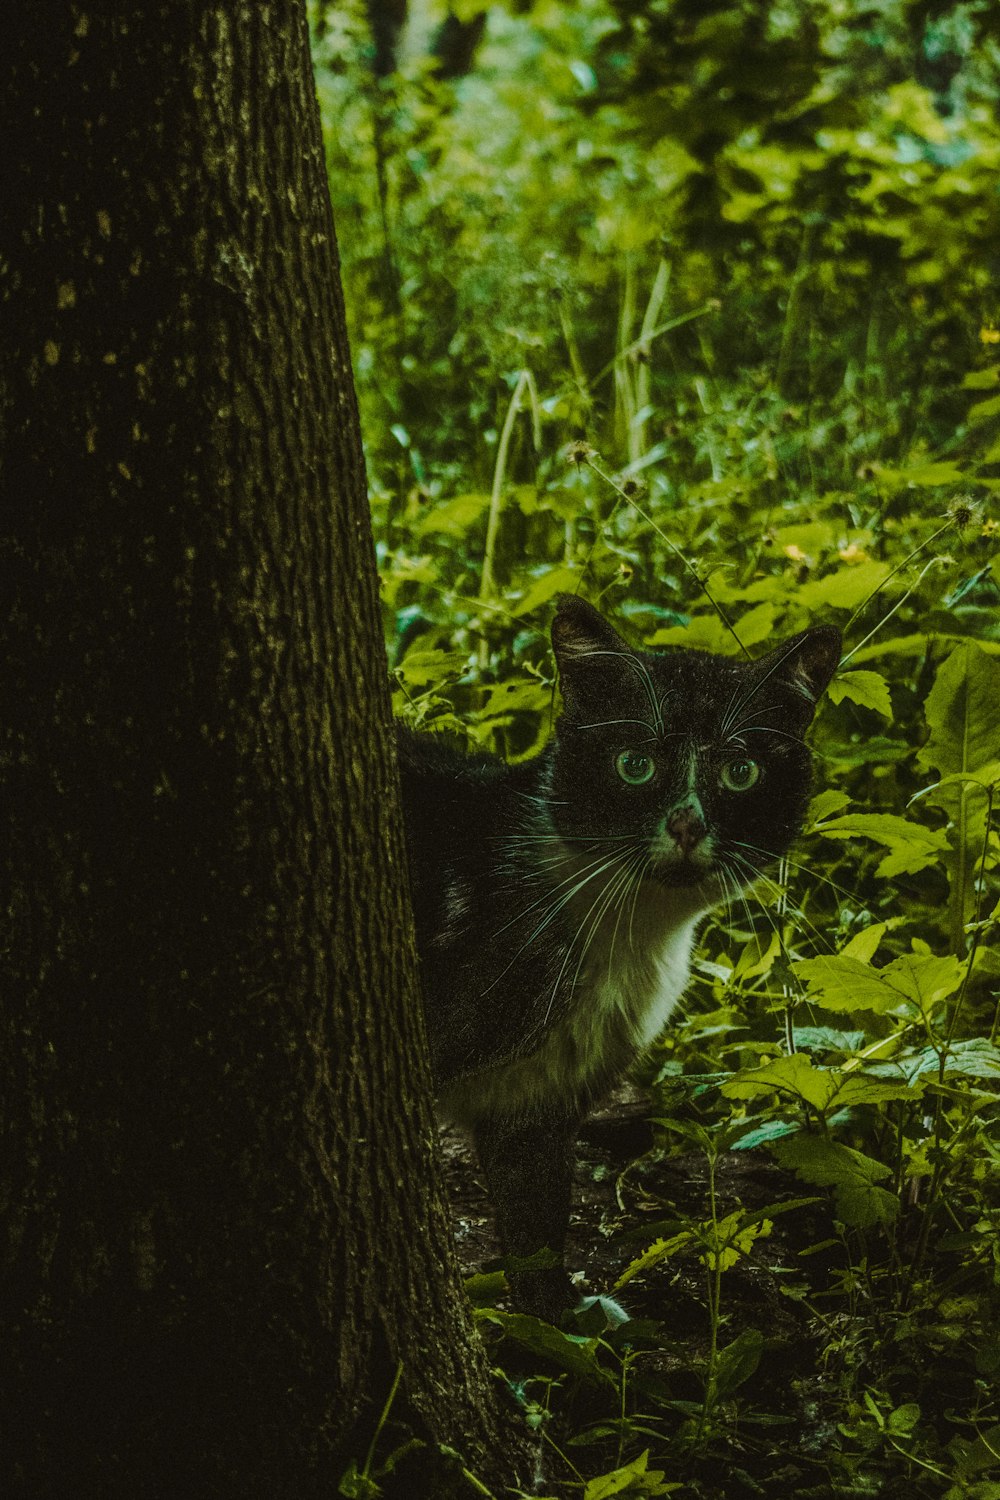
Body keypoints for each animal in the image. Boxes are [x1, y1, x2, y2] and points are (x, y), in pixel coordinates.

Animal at [395, 591, 839, 1320]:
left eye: (741, 772)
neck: (632, 941)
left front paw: (560, 1330)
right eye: (636, 763)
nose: (686, 823)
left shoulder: (537, 1104)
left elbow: (539, 1233)